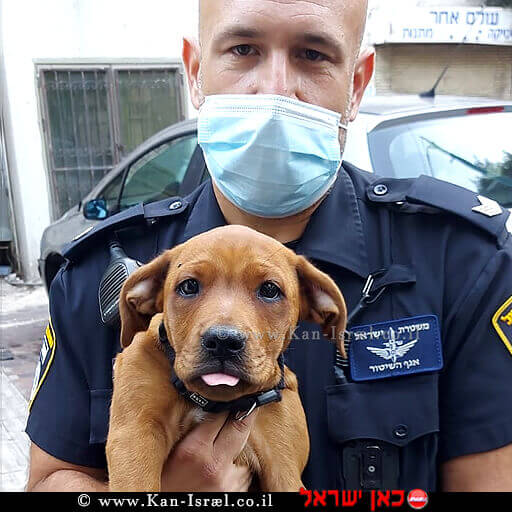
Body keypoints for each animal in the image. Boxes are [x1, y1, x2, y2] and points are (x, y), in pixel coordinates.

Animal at [105, 225, 346, 492]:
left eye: (270, 290)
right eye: (189, 286)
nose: (223, 341)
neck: (215, 402)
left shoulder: (284, 467)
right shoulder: (135, 435)